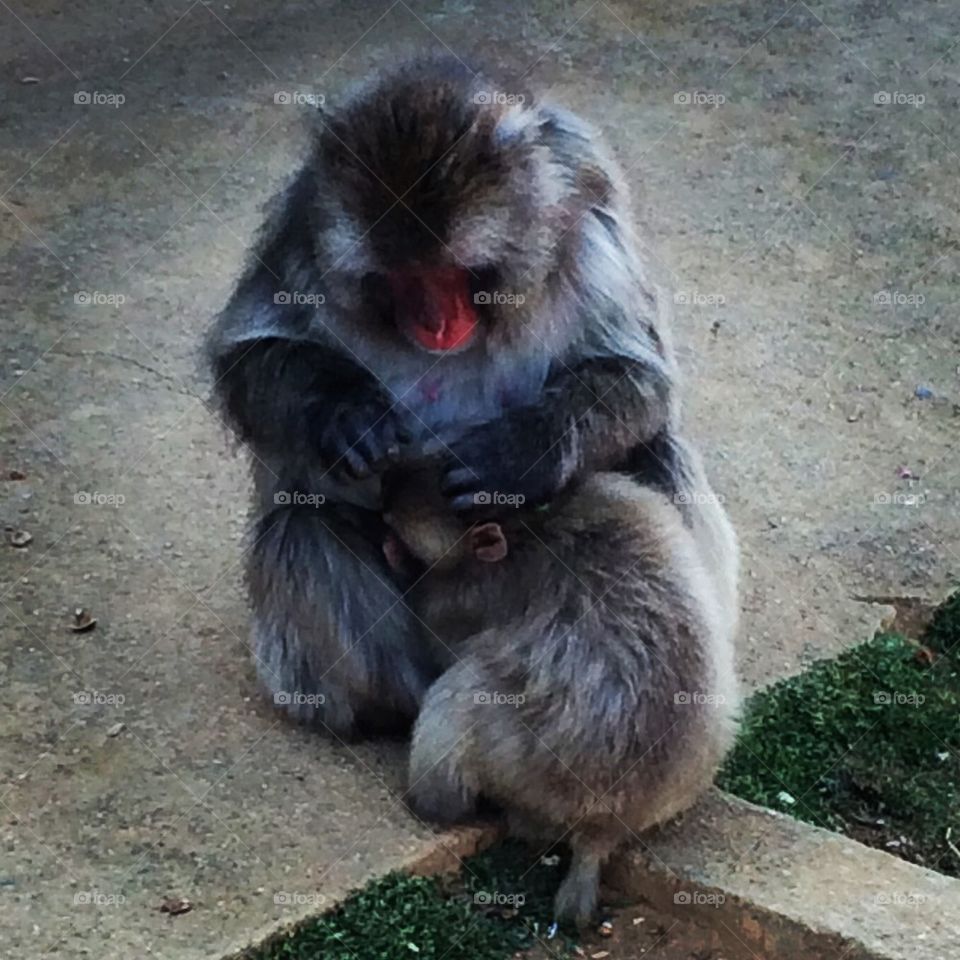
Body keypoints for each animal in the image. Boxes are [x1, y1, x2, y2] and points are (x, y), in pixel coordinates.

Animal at [205, 56, 679, 739]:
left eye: (451, 274)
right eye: (401, 278)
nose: (433, 324)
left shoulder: (591, 222)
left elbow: (639, 375)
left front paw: (524, 450)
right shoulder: (299, 225)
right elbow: (246, 356)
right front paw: (344, 412)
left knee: (656, 452)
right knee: (299, 525)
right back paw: (390, 707)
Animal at [382, 446, 739, 929]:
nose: (386, 489)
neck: (532, 526)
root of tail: (608, 822)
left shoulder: (468, 591)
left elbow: (441, 636)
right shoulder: (612, 492)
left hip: (527, 766)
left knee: (462, 689)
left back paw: (435, 803)